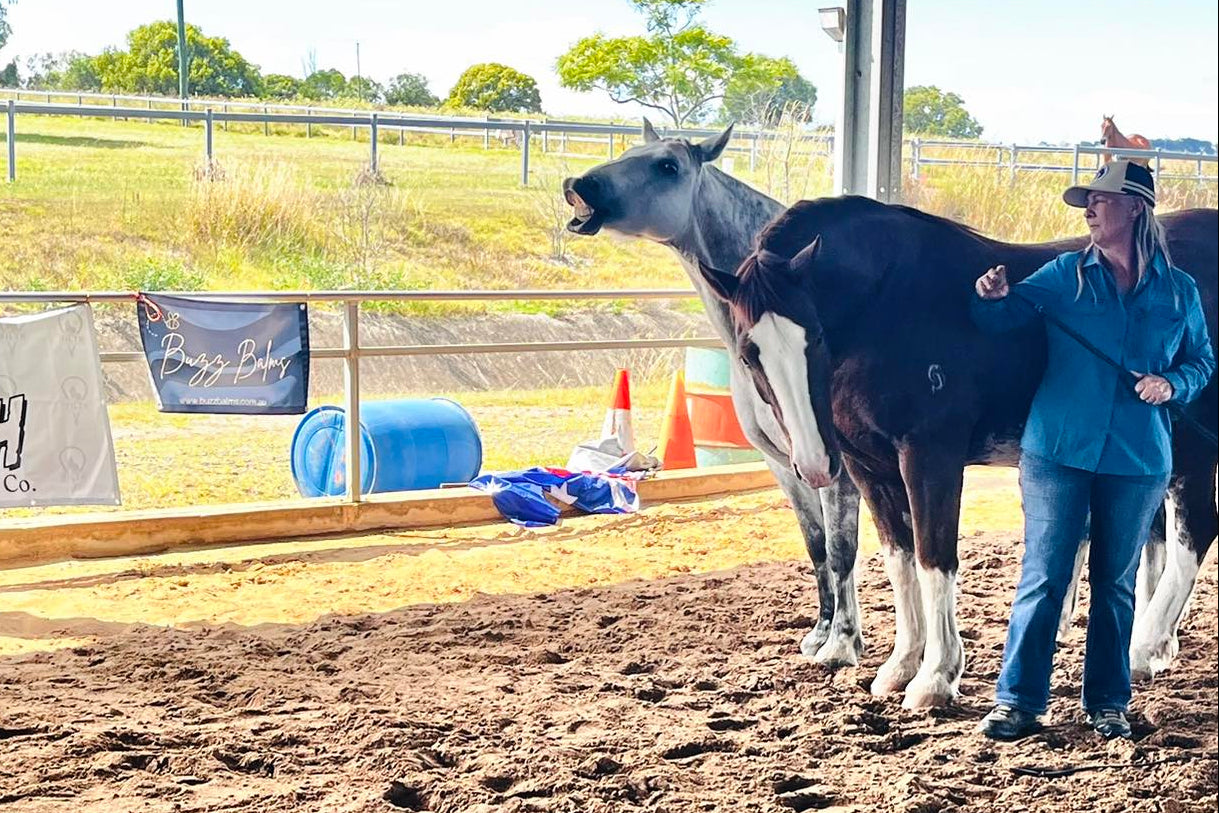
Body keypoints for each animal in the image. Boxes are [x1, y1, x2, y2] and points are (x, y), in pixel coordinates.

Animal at [563, 120, 868, 668]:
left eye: (668, 166)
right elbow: (816, 546)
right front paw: (821, 633)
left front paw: (841, 646)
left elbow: (841, 551)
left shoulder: (838, 469)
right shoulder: (785, 465)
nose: (579, 186)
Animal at [695, 196, 1218, 707]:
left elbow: (934, 558)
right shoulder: (870, 469)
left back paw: (1142, 650)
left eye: (816, 336)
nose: (815, 465)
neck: (885, 307)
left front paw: (935, 677)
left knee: (1194, 533)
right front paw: (900, 666)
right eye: (748, 354)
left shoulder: (930, 456)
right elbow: (900, 562)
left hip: (1191, 447)